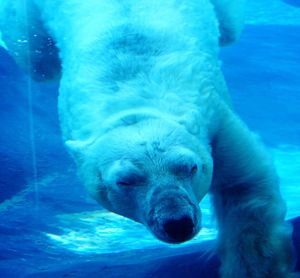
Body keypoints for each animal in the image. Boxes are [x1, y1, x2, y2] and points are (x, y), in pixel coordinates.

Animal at [0, 1, 296, 276]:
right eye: (125, 181)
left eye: (190, 167)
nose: (177, 223)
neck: (132, 98)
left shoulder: (215, 125)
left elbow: (245, 188)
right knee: (37, 59)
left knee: (230, 28)